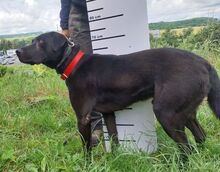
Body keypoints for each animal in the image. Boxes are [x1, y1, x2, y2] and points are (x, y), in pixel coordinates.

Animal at [16, 31, 220, 157]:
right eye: (33, 41)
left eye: (40, 42)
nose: (17, 51)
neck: (73, 63)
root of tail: (204, 63)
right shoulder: (108, 114)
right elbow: (114, 139)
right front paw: (115, 159)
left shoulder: (83, 117)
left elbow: (86, 147)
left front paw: (86, 164)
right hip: (186, 111)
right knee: (200, 136)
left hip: (167, 113)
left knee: (186, 147)